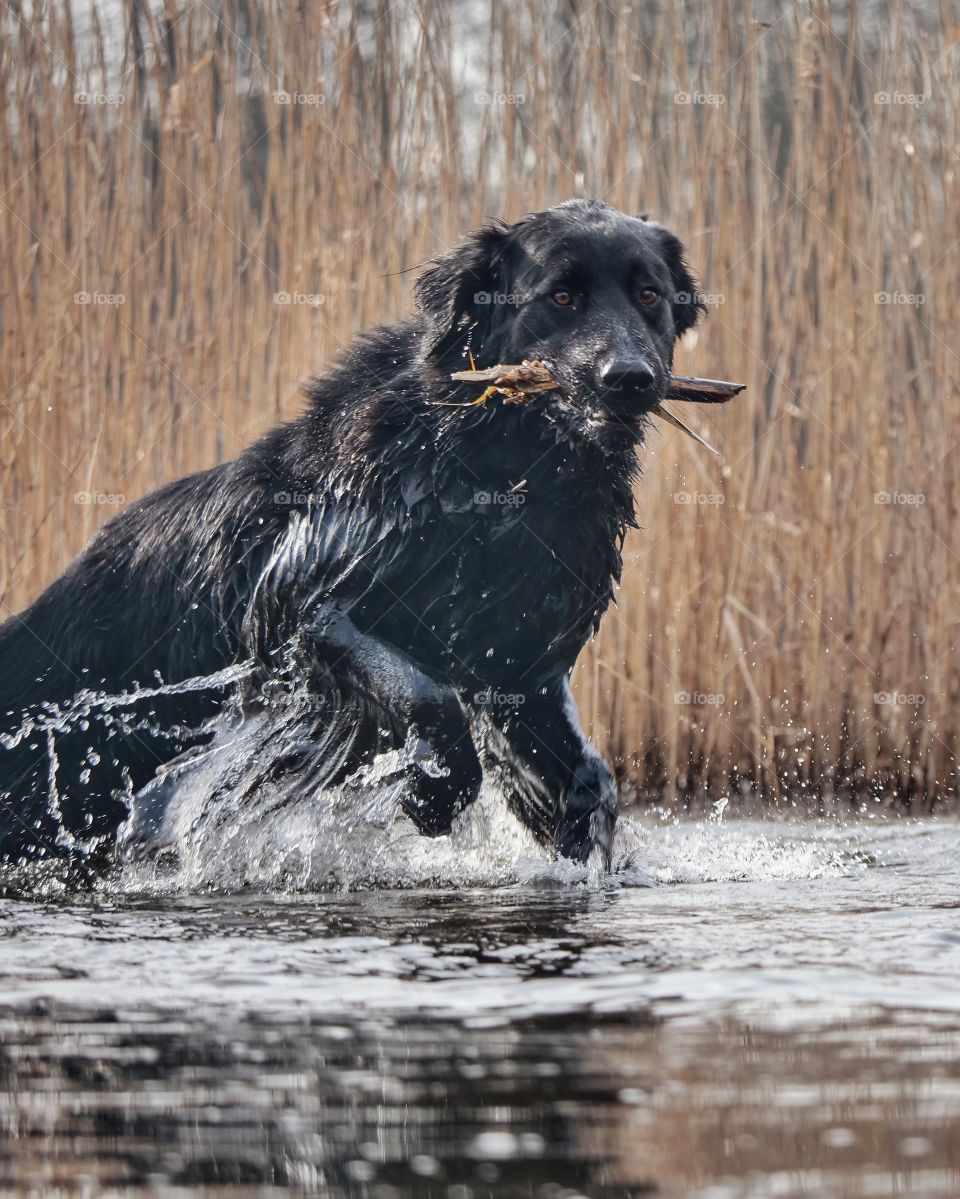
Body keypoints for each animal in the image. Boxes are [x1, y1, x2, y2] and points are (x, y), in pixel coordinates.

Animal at [0, 201, 704, 868]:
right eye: (561, 296)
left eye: (649, 296)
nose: (631, 378)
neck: (499, 475)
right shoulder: (305, 605)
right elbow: (432, 699)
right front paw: (431, 795)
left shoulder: (524, 664)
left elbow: (586, 778)